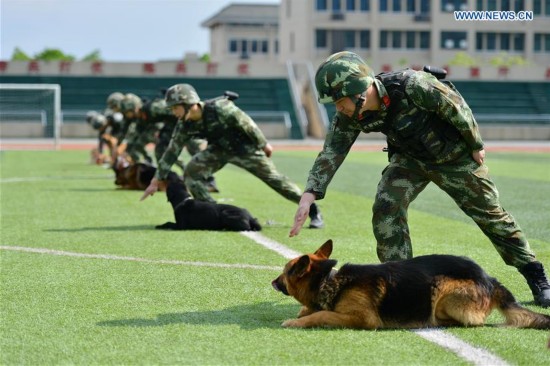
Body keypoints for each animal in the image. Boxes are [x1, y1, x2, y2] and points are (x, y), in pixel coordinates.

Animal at [274, 239, 550, 330]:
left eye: (285, 272)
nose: (272, 282)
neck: (329, 280)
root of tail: (491, 281)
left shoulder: (363, 319)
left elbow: (321, 314)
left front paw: (296, 321)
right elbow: (310, 309)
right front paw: (303, 312)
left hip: (442, 289)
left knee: (471, 321)